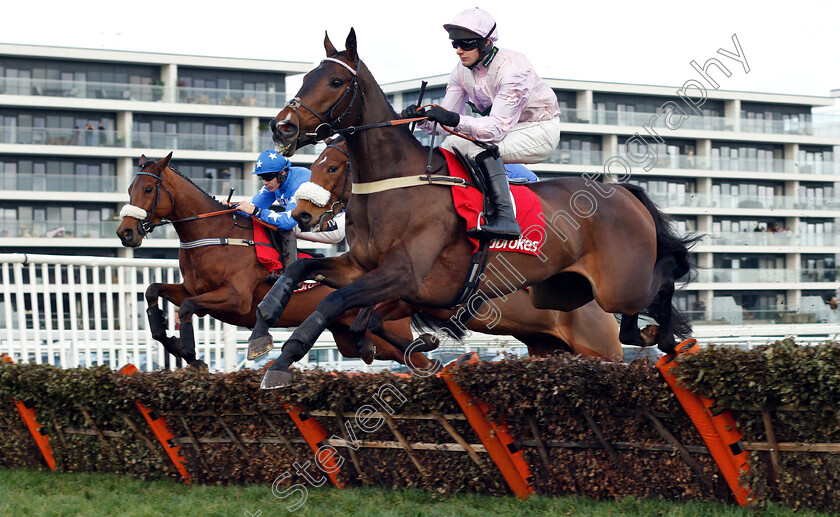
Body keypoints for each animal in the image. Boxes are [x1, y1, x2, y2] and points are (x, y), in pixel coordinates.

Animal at [114, 153, 434, 370]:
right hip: (352, 341)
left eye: (148, 189)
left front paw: (191, 353)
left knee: (422, 360)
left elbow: (188, 308)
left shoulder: (237, 299)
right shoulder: (193, 290)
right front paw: (172, 341)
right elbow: (154, 290)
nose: (125, 232)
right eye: (130, 188)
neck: (215, 234)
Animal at [288, 137, 624, 362]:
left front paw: (423, 345)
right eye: (314, 166)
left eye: (332, 168)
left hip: (599, 350)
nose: (301, 214)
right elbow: (368, 319)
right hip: (546, 346)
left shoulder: (420, 291)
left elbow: (369, 316)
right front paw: (417, 343)